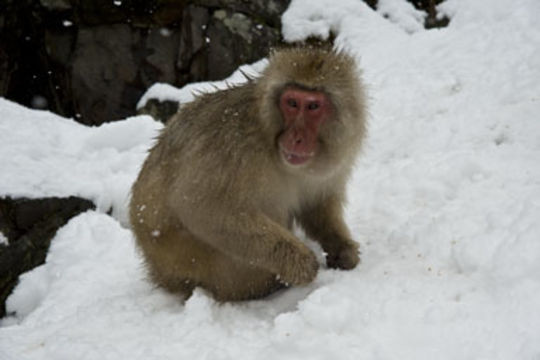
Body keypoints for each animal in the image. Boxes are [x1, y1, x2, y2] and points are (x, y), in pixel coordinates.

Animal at [130, 47, 368, 300]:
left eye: (313, 107)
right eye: (292, 103)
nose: (296, 137)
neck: (268, 134)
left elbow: (316, 204)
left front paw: (341, 247)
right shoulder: (233, 146)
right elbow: (200, 207)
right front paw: (300, 263)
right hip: (191, 263)